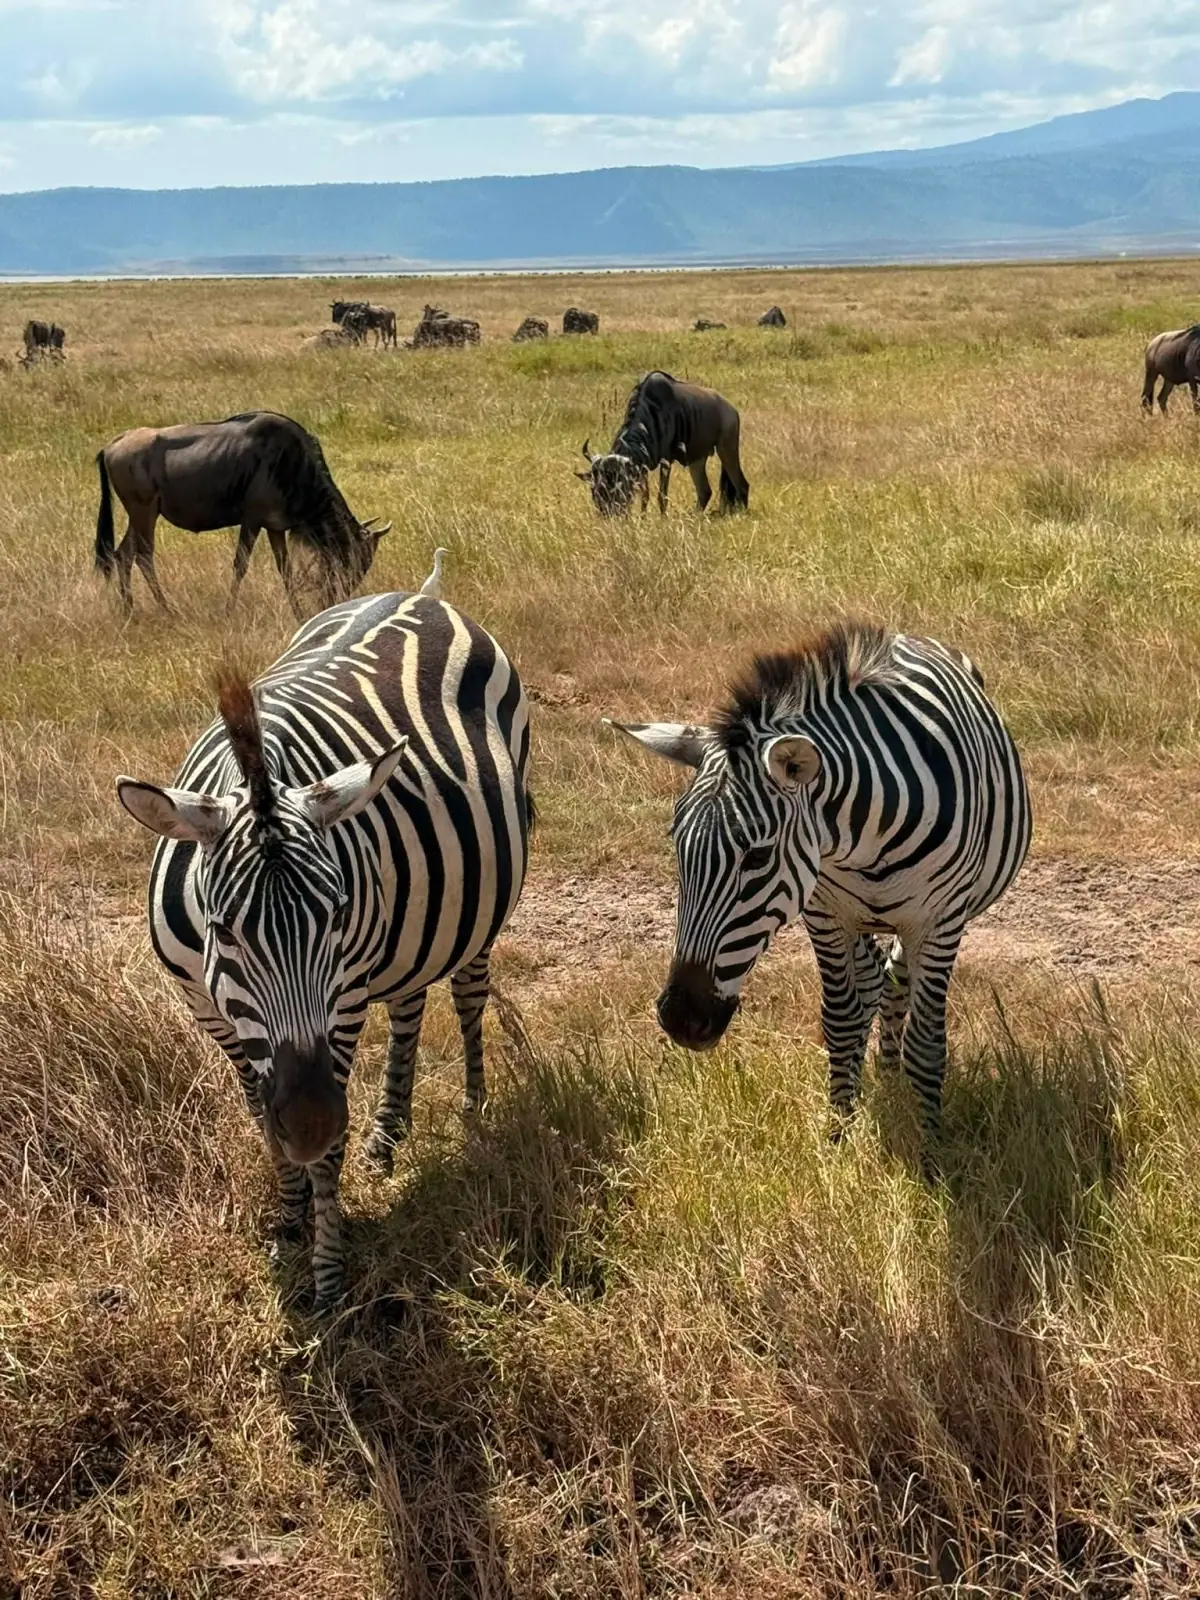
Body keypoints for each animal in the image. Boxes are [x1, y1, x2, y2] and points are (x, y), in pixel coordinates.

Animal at [116, 591, 533, 1307]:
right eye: (224, 931)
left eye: (336, 915)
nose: (310, 1124)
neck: (259, 770)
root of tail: (420, 592)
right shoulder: (208, 1005)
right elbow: (260, 1115)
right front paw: (289, 1221)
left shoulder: (343, 998)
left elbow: (326, 1148)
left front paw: (330, 1275)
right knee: (410, 1006)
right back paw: (388, 1137)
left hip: (476, 910)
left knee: (468, 997)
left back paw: (475, 1114)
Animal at [605, 622, 1030, 1169]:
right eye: (676, 844)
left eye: (757, 857)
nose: (681, 1019)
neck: (865, 840)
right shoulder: (824, 911)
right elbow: (842, 1020)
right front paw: (839, 1136)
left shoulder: (939, 920)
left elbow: (926, 1042)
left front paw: (931, 1153)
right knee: (877, 979)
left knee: (896, 984)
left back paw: (893, 1085)